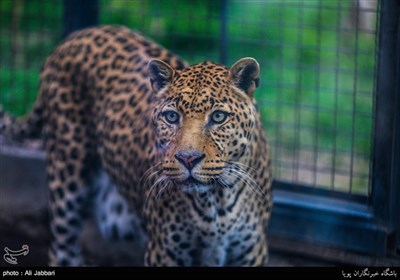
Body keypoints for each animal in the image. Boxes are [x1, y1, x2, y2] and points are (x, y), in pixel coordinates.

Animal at [0, 25, 274, 266]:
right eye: (171, 117)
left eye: (218, 117)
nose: (188, 159)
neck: (216, 202)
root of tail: (74, 36)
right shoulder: (163, 252)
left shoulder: (252, 252)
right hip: (66, 177)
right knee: (62, 250)